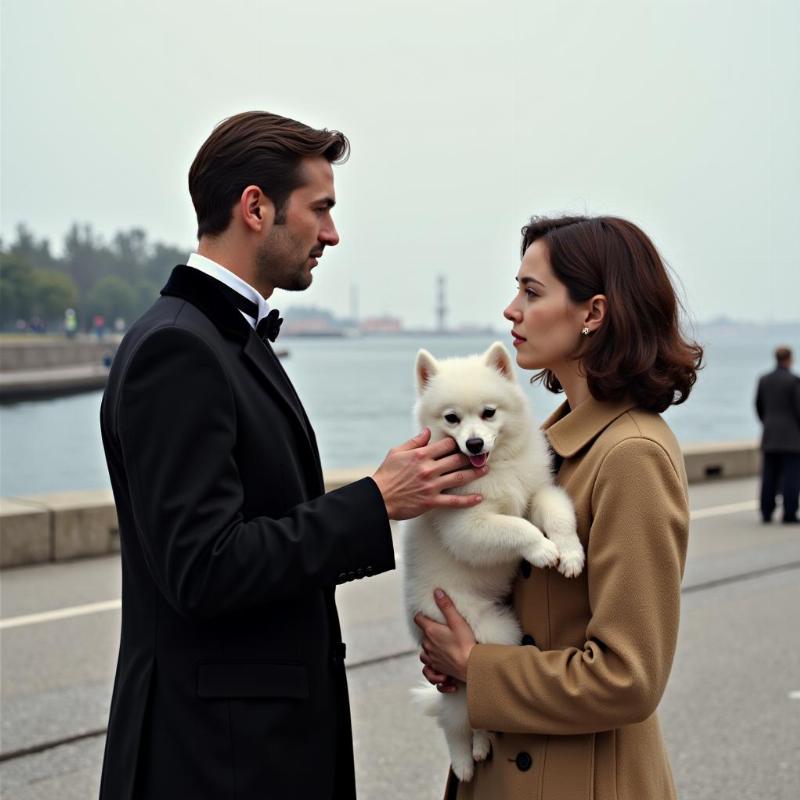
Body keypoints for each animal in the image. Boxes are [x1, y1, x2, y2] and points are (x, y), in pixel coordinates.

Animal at [404, 340, 584, 780]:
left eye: (489, 413)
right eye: (451, 418)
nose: (473, 445)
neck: (496, 468)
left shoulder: (536, 491)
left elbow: (556, 514)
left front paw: (570, 552)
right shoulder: (469, 524)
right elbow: (515, 529)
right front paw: (542, 550)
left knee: (475, 709)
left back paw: (482, 745)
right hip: (491, 631)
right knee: (455, 716)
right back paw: (464, 760)